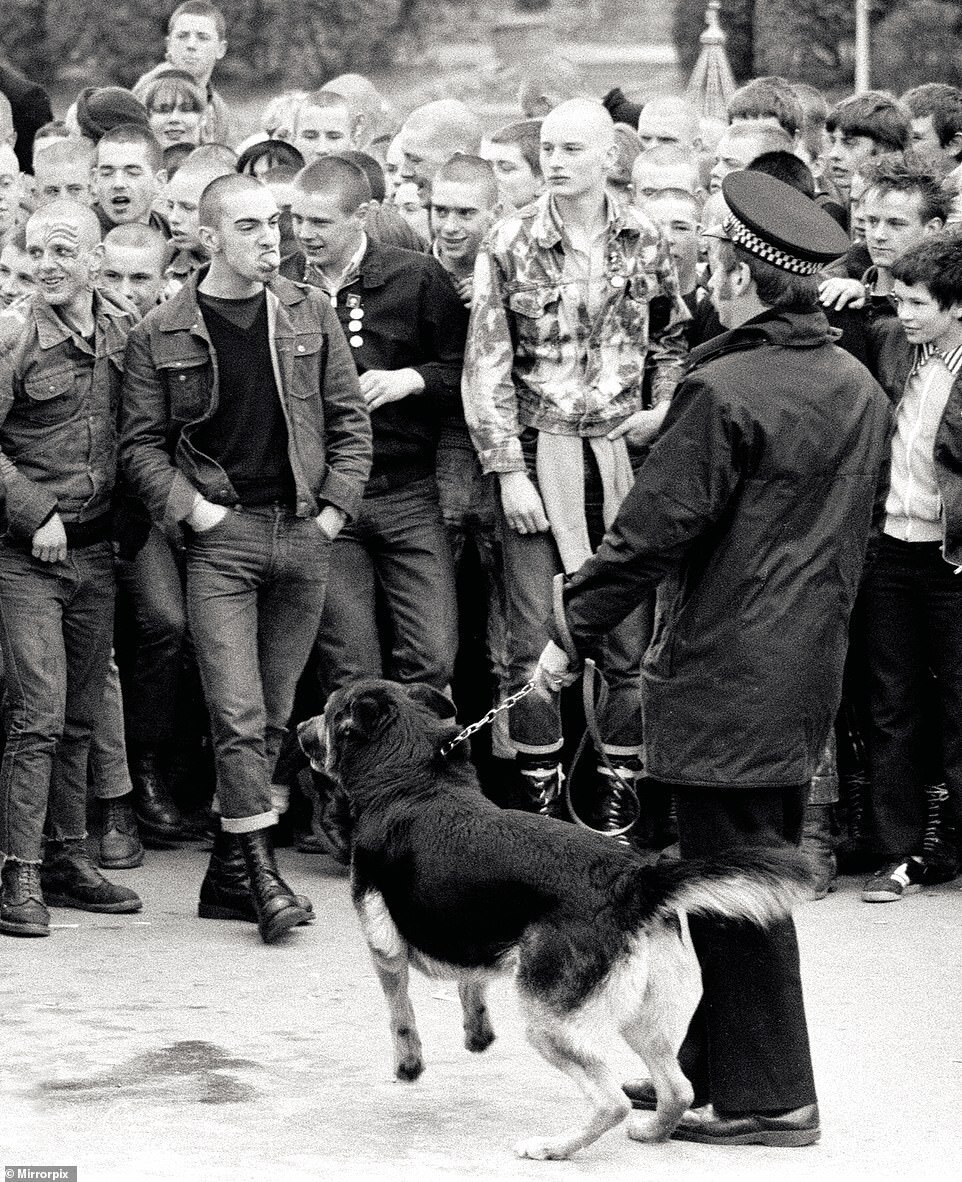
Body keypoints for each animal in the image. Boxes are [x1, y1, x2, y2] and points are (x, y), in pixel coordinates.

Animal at [299, 680, 813, 1158]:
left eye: (326, 711)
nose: (299, 728)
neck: (411, 774)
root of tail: (634, 879)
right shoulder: (469, 928)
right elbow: (472, 981)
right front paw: (477, 1033)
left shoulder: (383, 946)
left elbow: (400, 1014)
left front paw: (408, 1066)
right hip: (640, 1015)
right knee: (678, 1088)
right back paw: (652, 1131)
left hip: (548, 1024)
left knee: (611, 1101)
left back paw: (554, 1147)